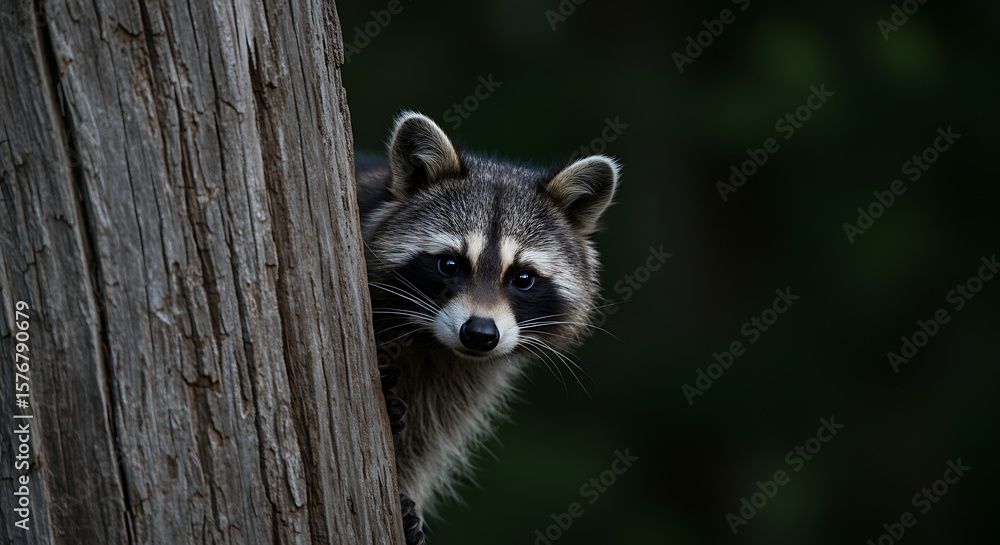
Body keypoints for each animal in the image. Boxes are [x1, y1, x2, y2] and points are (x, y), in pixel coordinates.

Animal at [356, 112, 619, 544]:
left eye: (523, 278)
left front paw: (407, 489)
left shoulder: (462, 381)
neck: (433, 345)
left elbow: (425, 439)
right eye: (449, 264)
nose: (479, 334)